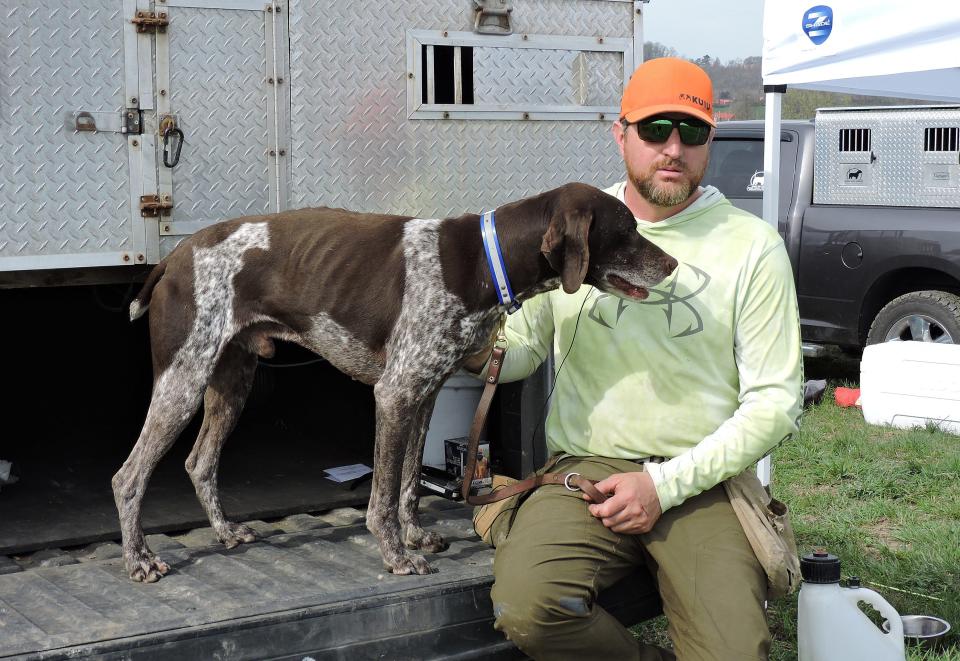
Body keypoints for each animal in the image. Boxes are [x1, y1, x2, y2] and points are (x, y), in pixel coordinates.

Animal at [112, 183, 676, 580]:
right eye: (626, 228)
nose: (672, 263)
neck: (482, 261)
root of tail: (174, 257)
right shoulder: (395, 393)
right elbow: (382, 495)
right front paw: (396, 555)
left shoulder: (424, 394)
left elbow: (408, 484)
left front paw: (416, 535)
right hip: (182, 380)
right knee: (129, 477)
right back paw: (139, 560)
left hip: (231, 382)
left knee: (199, 462)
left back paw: (226, 531)